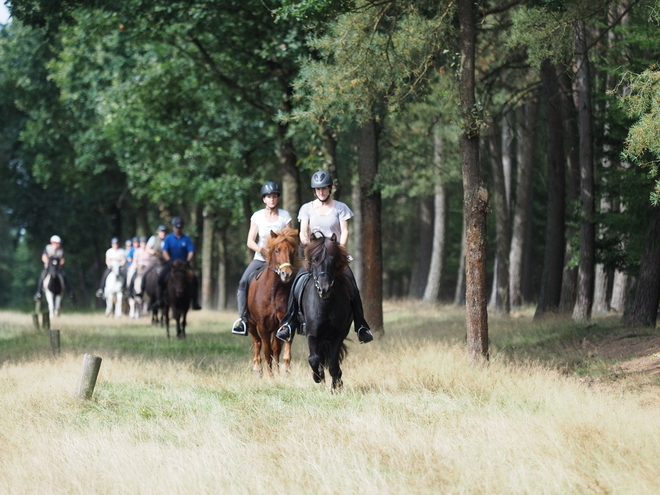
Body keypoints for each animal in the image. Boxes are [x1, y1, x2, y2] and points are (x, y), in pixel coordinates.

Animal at [248, 228, 300, 376]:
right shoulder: (262, 326)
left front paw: (280, 372)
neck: (273, 292)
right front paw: (270, 376)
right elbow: (267, 351)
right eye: (277, 250)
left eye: (293, 251)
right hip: (251, 323)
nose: (286, 274)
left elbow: (277, 349)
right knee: (257, 343)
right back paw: (257, 369)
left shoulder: (282, 323)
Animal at [300, 233, 354, 392]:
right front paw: (318, 377)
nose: (324, 289)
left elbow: (333, 364)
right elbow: (313, 359)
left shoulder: (338, 335)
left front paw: (336, 386)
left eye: (333, 261)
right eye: (314, 260)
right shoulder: (312, 334)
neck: (325, 305)